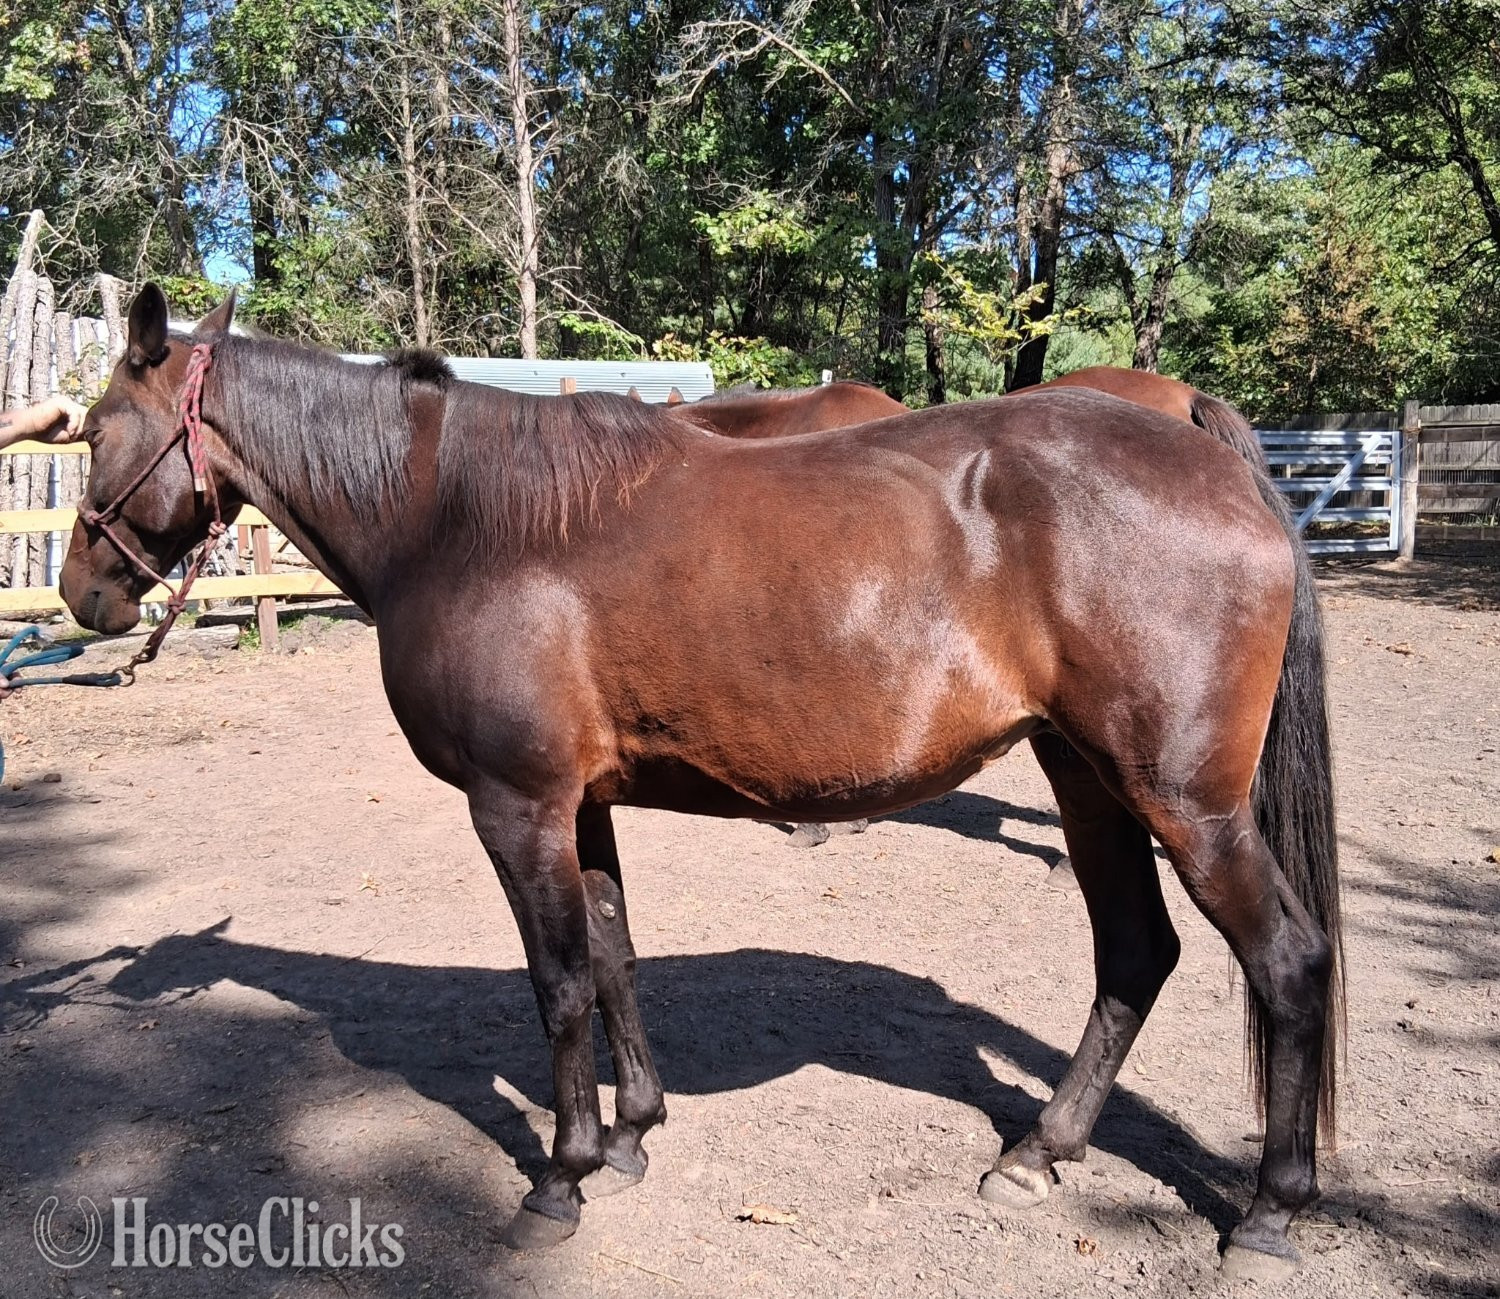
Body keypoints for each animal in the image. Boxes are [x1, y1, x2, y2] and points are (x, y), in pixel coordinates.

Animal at [60, 285, 1341, 1281]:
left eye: (99, 430)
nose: (82, 592)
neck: (461, 519)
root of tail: (1206, 448)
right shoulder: (579, 806)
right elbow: (614, 956)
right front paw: (631, 1137)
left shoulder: (517, 807)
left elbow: (559, 984)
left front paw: (560, 1180)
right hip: (1089, 782)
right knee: (1135, 953)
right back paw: (1040, 1153)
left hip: (1185, 804)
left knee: (1286, 959)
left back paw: (1270, 1209)